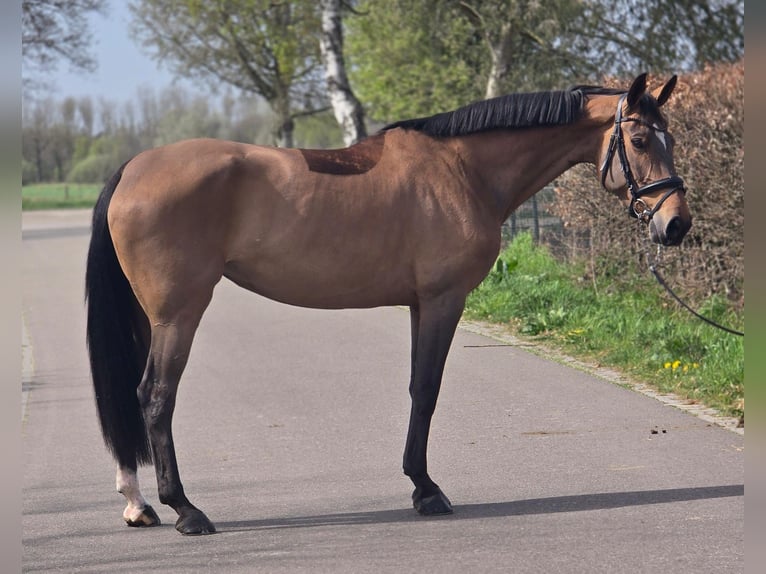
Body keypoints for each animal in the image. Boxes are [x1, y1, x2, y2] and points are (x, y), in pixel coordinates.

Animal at [85, 73, 691, 535]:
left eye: (672, 139)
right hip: (178, 315)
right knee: (155, 397)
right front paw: (427, 491)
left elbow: (417, 389)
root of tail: (133, 167)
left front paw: (419, 485)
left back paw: (139, 503)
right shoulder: (444, 299)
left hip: (151, 316)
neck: (462, 169)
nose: (676, 224)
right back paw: (186, 510)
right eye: (641, 142)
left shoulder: (421, 303)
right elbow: (427, 390)